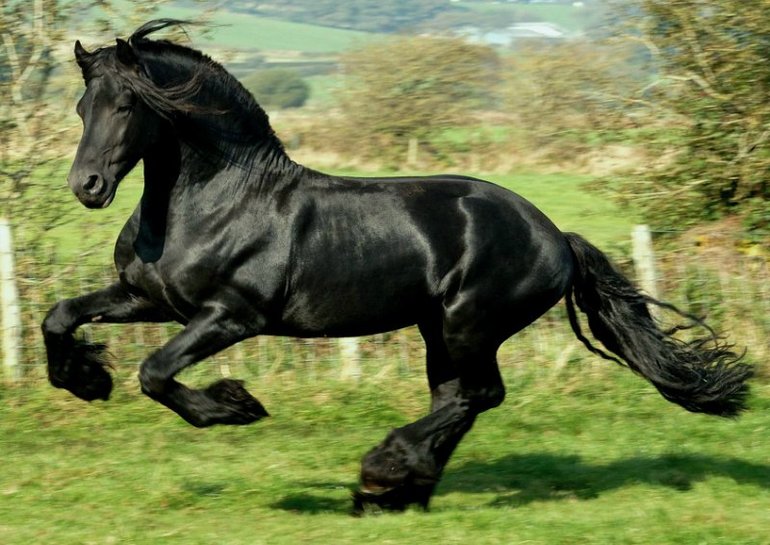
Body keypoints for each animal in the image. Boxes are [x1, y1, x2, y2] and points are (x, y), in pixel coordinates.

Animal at [42, 19, 752, 513]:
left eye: (128, 106)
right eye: (81, 107)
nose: (88, 187)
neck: (216, 200)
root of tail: (555, 235)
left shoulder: (231, 316)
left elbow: (156, 373)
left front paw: (236, 407)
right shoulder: (149, 298)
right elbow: (60, 317)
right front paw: (85, 380)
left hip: (469, 323)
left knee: (476, 395)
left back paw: (383, 471)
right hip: (438, 329)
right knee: (458, 399)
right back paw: (398, 492)